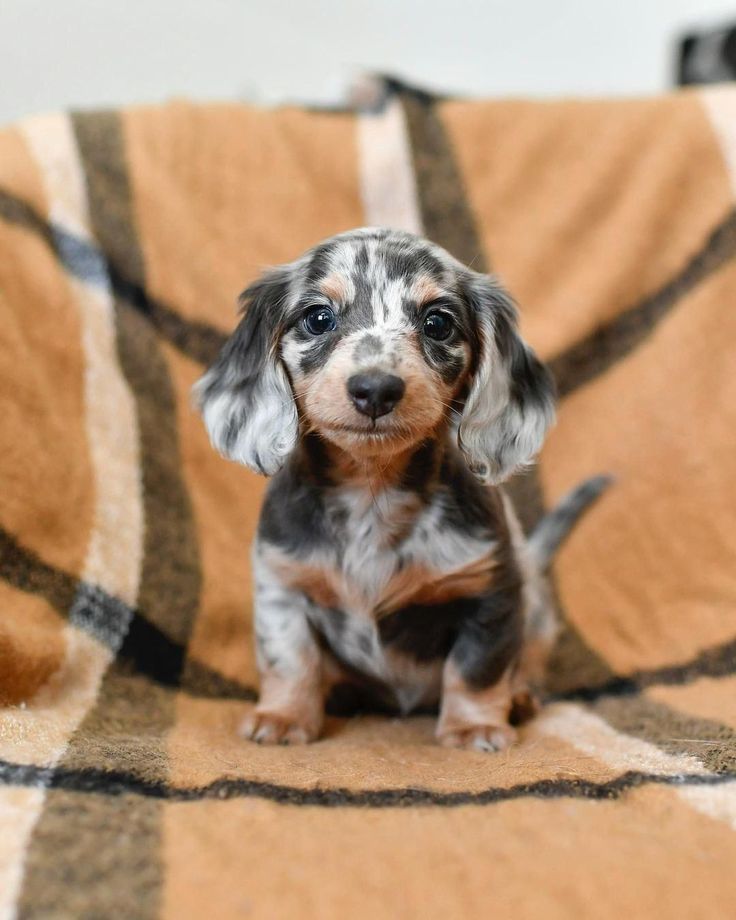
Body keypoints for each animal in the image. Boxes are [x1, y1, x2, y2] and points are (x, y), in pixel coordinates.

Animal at [194, 226, 604, 752]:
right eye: (318, 318)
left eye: (437, 323)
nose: (375, 389)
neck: (373, 492)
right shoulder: (282, 584)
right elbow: (291, 661)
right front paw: (283, 718)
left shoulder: (492, 593)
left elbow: (476, 669)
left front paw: (472, 726)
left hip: (535, 615)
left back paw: (520, 698)